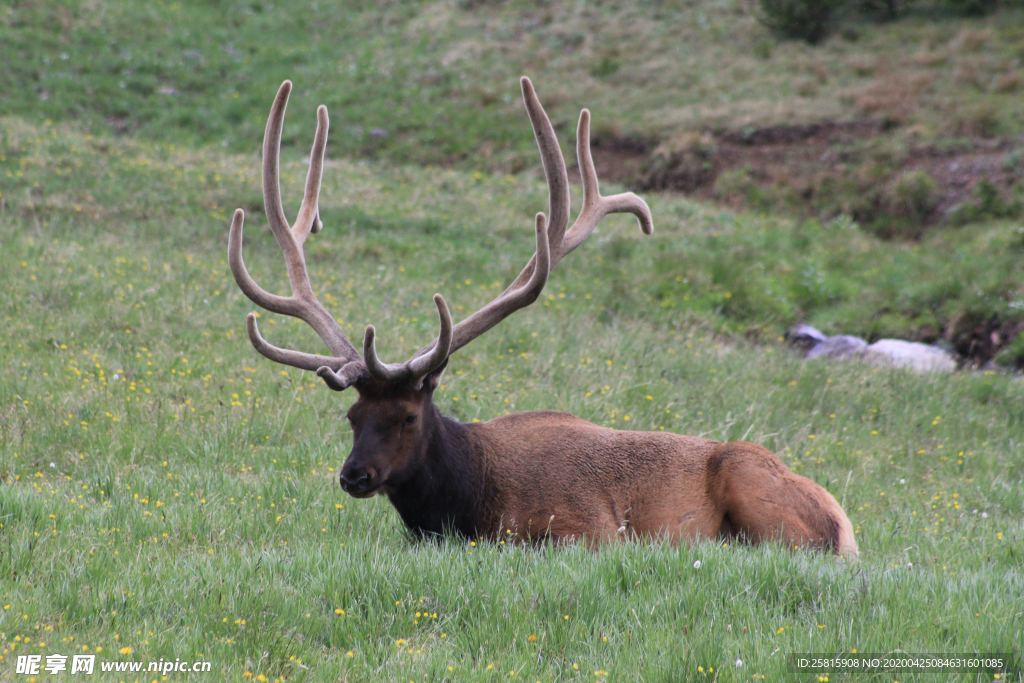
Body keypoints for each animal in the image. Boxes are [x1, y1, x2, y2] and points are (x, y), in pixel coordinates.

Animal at [226, 77, 856, 557]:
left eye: (407, 416)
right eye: (352, 416)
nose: (353, 474)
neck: (468, 503)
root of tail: (845, 525)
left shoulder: (590, 529)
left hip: (757, 492)